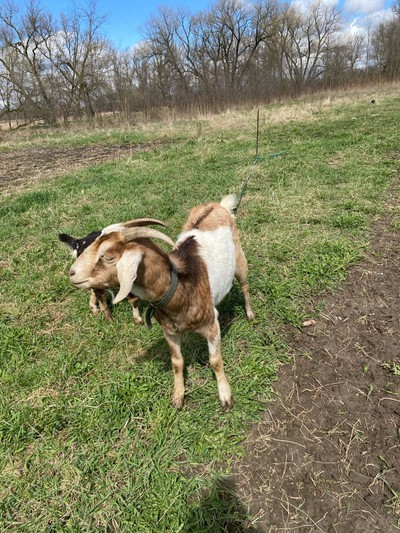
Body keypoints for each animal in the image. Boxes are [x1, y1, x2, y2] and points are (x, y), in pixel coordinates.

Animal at [68, 197, 256, 410]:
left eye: (108, 257)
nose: (72, 273)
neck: (179, 288)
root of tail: (218, 205)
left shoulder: (211, 324)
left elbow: (215, 361)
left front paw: (225, 397)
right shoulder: (169, 332)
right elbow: (177, 362)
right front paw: (177, 397)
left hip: (239, 258)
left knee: (244, 285)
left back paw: (250, 314)